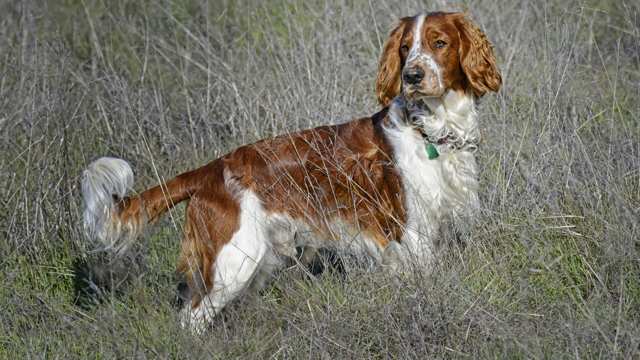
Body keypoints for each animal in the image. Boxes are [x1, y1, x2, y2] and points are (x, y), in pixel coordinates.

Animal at [81, 11, 500, 332]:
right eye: (404, 48)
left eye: (439, 43)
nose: (412, 75)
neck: (432, 129)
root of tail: (210, 171)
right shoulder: (412, 235)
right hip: (234, 260)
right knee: (191, 319)